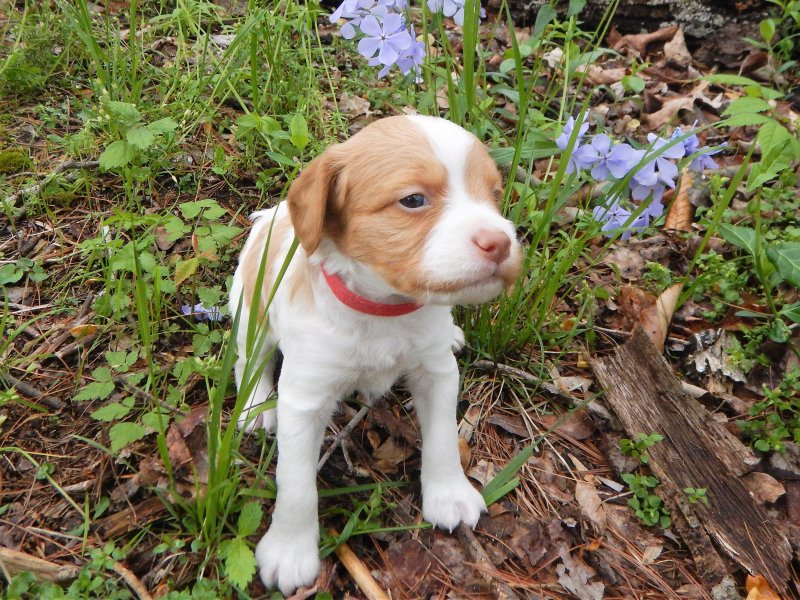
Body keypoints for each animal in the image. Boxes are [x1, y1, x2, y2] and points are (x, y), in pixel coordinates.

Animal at [228, 115, 520, 592]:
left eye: (494, 195)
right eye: (413, 200)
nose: (501, 241)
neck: (387, 309)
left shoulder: (437, 372)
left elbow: (442, 436)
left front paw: (449, 494)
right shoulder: (305, 398)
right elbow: (295, 481)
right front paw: (290, 549)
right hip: (250, 310)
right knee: (248, 360)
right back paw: (255, 407)